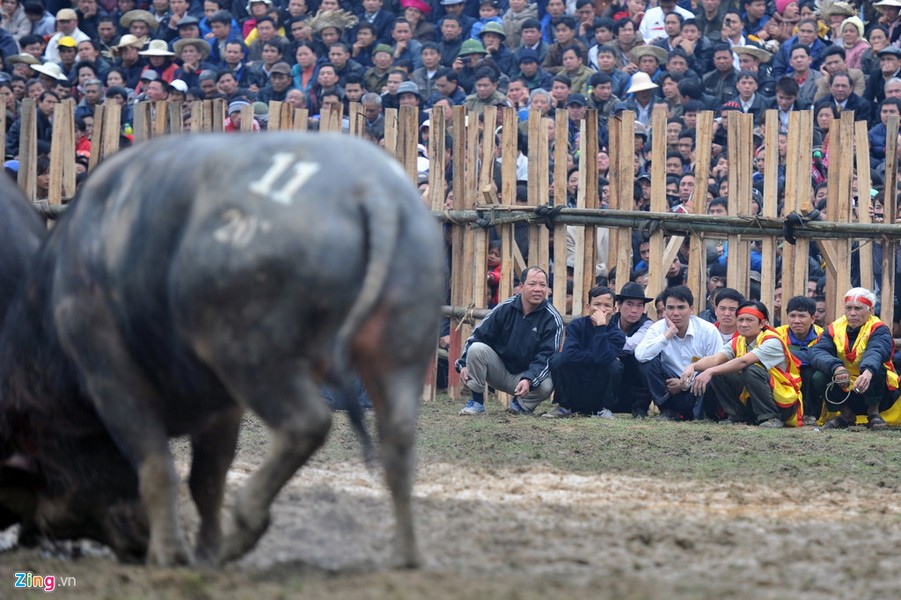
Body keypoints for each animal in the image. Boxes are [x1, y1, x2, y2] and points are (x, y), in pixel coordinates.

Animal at [0, 132, 444, 568]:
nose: (32, 522)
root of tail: (370, 189)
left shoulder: (111, 381)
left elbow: (158, 470)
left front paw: (172, 553)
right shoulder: (222, 407)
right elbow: (206, 480)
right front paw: (206, 551)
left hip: (254, 357)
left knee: (307, 423)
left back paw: (245, 526)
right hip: (396, 353)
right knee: (398, 442)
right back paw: (404, 555)